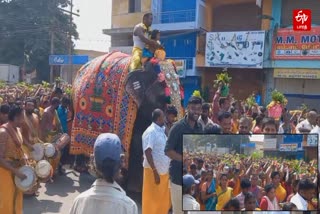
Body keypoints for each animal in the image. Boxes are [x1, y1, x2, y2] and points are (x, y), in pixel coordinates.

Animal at [71, 51, 184, 194]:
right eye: (165, 99)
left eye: (182, 99)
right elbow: (136, 142)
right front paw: (134, 189)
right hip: (75, 101)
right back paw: (81, 169)